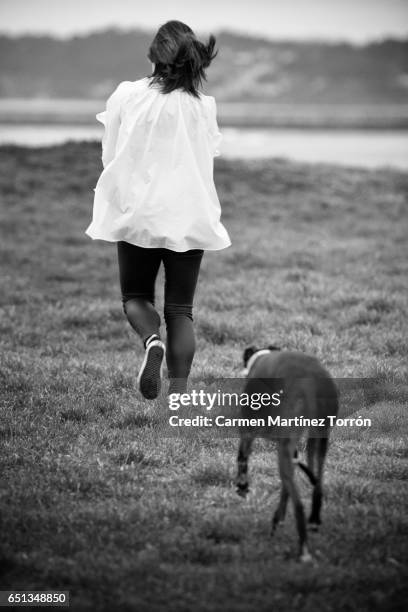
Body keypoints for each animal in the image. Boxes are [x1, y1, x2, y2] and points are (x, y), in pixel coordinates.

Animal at [236, 344, 338, 560]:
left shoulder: (250, 430)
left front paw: (242, 486)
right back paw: (311, 519)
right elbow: (287, 486)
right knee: (316, 482)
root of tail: (311, 381)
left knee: (298, 505)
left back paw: (303, 549)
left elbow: (242, 458)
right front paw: (279, 517)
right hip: (319, 440)